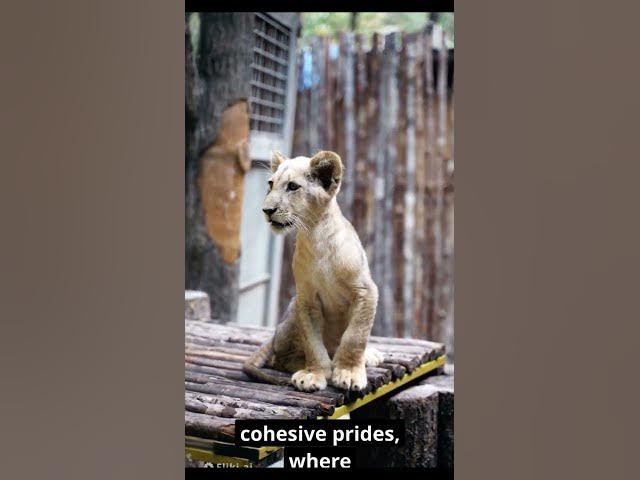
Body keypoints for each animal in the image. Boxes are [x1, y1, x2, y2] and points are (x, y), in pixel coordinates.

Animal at [242, 150, 383, 392]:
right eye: (270, 184)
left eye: (292, 186)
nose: (267, 210)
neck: (316, 236)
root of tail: (274, 335)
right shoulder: (306, 299)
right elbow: (313, 343)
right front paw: (314, 374)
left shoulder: (366, 292)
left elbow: (355, 337)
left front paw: (349, 372)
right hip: (291, 313)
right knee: (279, 358)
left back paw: (366, 356)